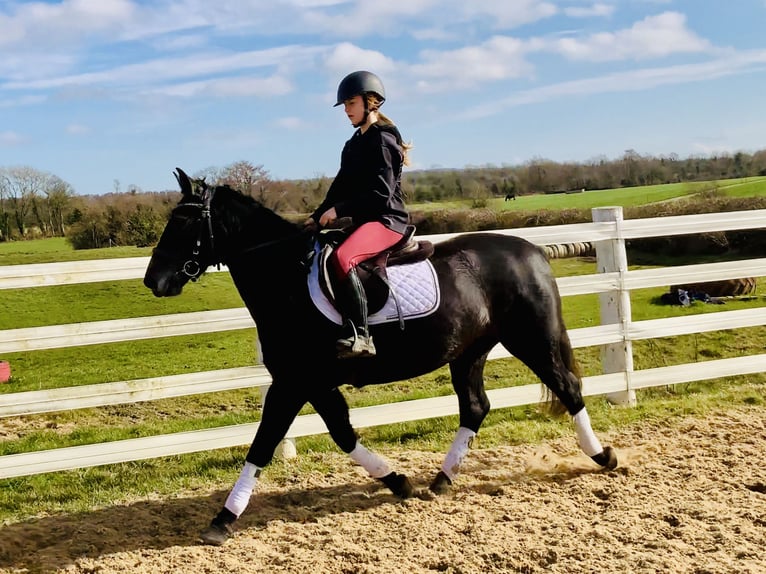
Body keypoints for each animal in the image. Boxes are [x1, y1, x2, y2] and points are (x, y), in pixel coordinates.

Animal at [144, 169, 620, 548]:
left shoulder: (292, 382)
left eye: (184, 221)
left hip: (531, 339)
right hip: (469, 351)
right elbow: (342, 434)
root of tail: (532, 250)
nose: (154, 280)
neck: (287, 280)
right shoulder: (313, 382)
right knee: (476, 407)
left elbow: (263, 444)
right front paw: (397, 481)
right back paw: (441, 480)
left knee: (567, 388)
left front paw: (222, 519)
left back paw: (603, 457)